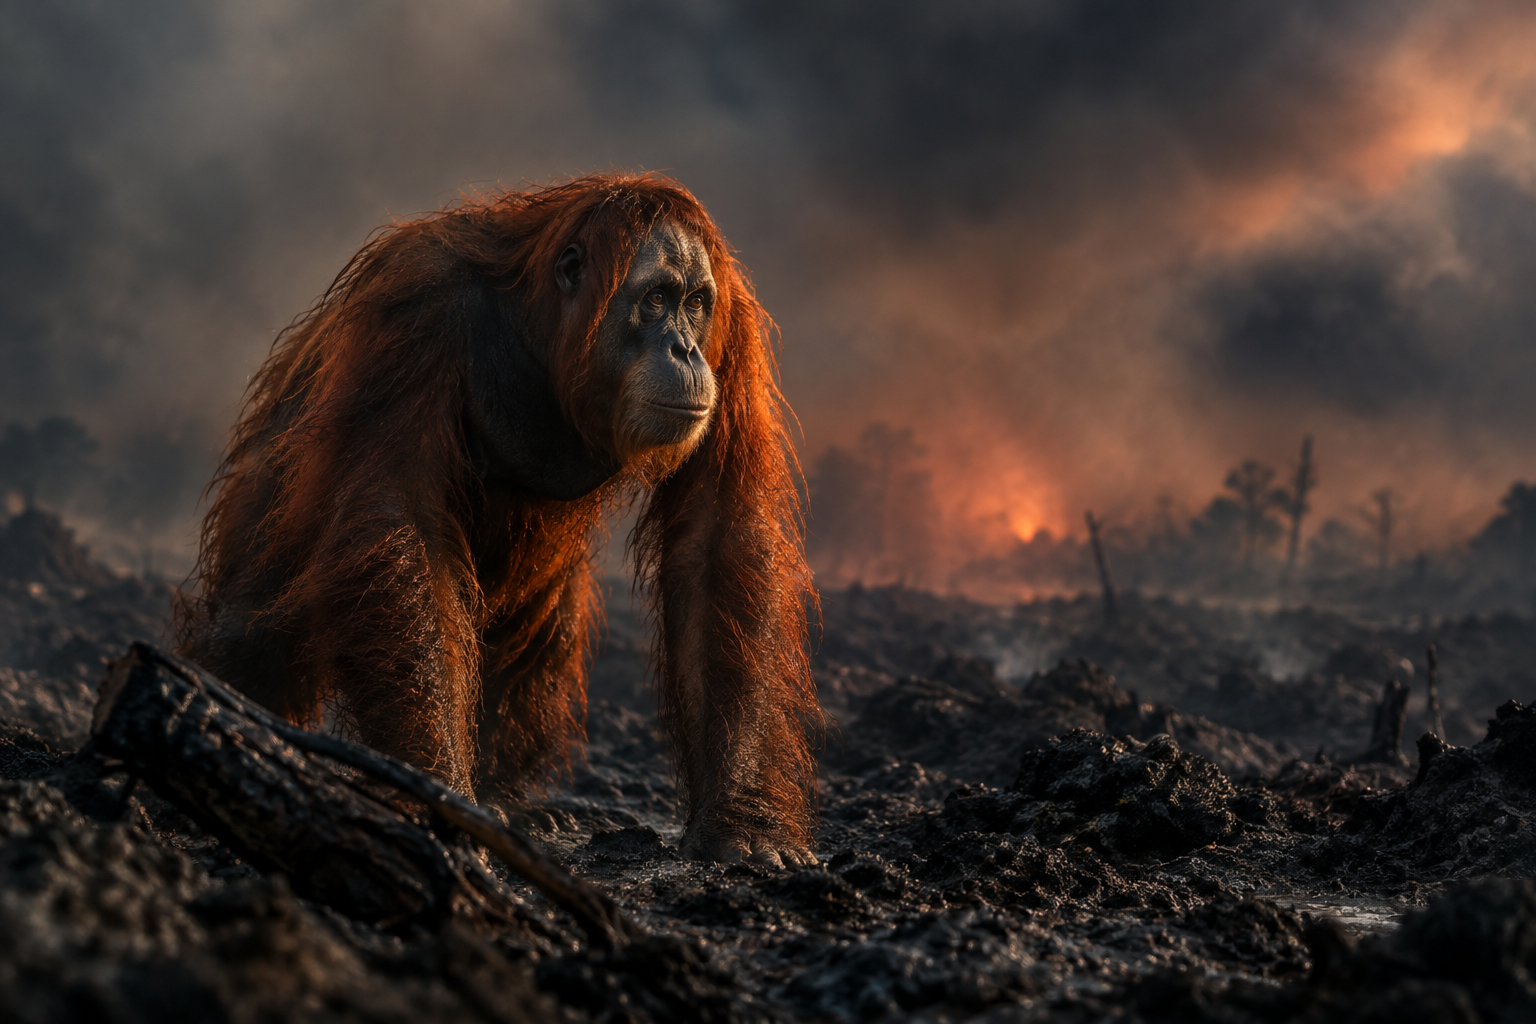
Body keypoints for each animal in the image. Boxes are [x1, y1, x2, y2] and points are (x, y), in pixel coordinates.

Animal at [177, 174, 819, 866]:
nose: (686, 348)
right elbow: (397, 514)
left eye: (696, 303)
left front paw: (743, 825)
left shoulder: (732, 335)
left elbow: (715, 536)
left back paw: (507, 798)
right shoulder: (415, 303)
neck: (546, 334)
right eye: (655, 300)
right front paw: (440, 803)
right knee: (251, 636)